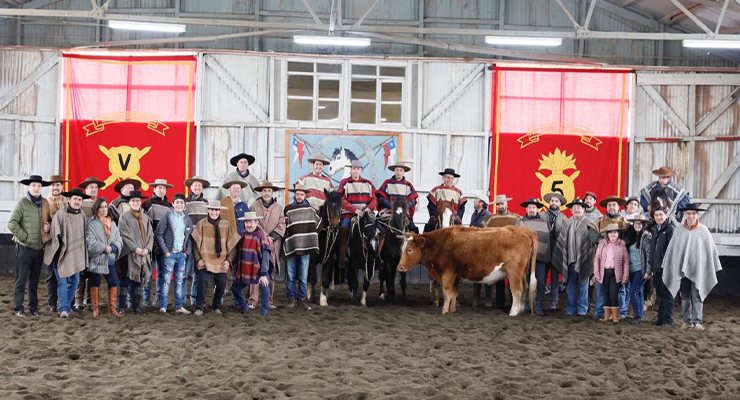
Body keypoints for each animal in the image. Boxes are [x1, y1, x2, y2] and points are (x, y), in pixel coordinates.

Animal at [398, 225, 536, 316]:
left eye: (409, 250)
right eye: (401, 248)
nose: (399, 267)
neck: (439, 243)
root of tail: (523, 230)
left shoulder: (447, 272)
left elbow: (447, 292)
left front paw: (444, 311)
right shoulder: (455, 275)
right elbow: (454, 293)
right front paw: (452, 309)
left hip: (514, 273)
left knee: (517, 290)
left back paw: (513, 312)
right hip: (522, 273)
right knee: (525, 287)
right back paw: (521, 310)